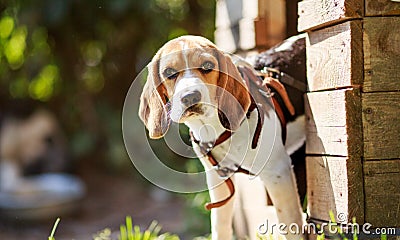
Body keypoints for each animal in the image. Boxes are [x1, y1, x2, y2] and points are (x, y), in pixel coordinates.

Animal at [139, 35, 304, 240]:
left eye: (207, 66)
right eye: (169, 72)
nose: (190, 97)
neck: (215, 129)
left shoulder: (278, 172)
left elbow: (290, 225)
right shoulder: (218, 180)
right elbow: (220, 225)